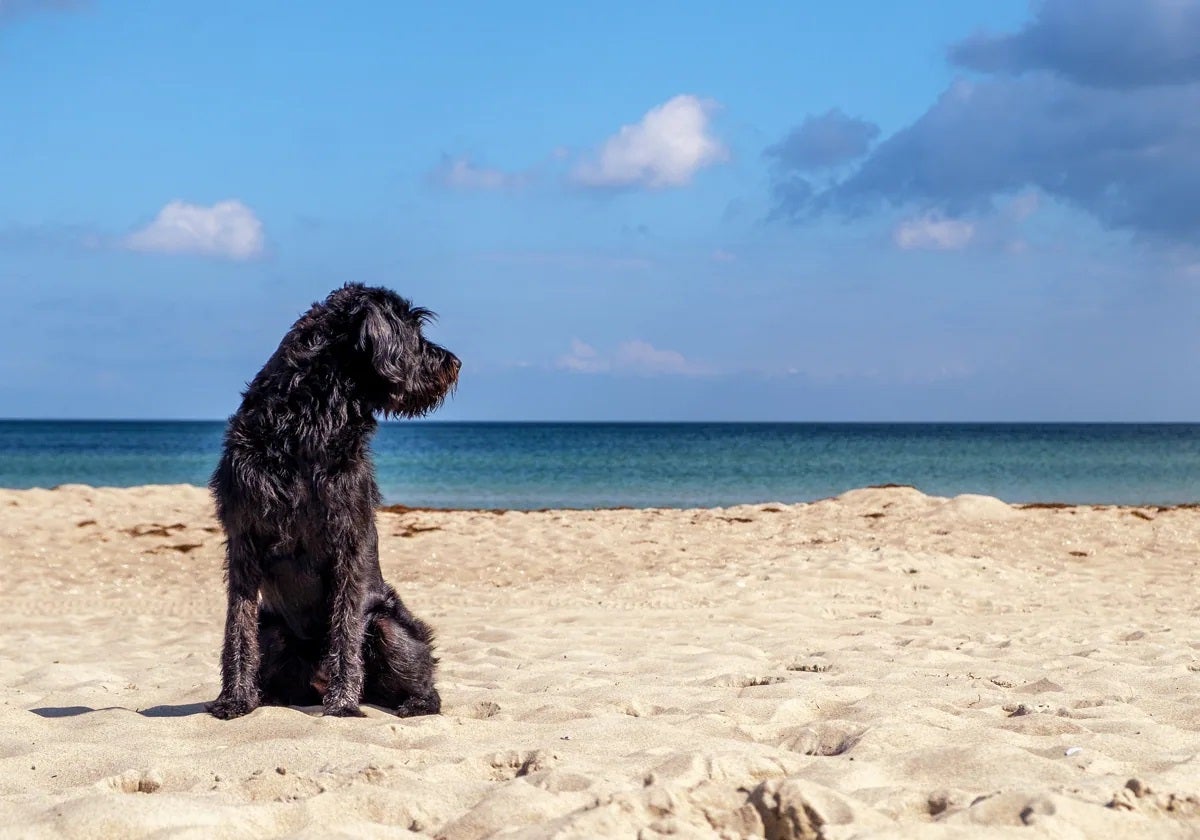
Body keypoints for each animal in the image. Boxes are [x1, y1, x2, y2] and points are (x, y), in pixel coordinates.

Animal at [207, 285, 458, 720]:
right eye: (413, 329)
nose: (454, 363)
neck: (309, 420)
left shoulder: (348, 540)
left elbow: (345, 625)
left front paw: (342, 703)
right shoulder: (243, 542)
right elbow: (236, 628)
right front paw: (234, 699)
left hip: (389, 626)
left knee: (424, 682)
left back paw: (411, 701)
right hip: (272, 628)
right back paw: (266, 696)